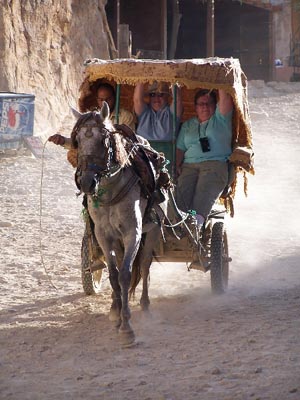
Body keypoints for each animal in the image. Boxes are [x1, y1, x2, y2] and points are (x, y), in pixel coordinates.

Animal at [71, 102, 168, 344]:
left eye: (103, 140)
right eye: (78, 140)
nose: (87, 182)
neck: (111, 191)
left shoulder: (133, 233)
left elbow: (125, 274)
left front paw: (127, 328)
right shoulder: (103, 236)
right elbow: (114, 274)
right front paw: (116, 315)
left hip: (152, 231)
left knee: (144, 265)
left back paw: (145, 305)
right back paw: (116, 306)